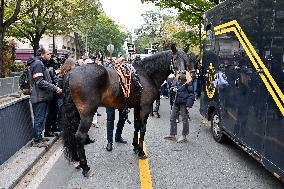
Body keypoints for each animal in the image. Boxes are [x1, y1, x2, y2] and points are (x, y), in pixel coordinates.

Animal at [61, 45, 192, 176]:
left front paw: (135, 146)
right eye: (174, 59)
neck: (146, 74)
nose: (182, 77)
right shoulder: (145, 107)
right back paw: (85, 167)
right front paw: (141, 151)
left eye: (186, 60)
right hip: (88, 114)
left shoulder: (137, 107)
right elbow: (142, 128)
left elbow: (136, 126)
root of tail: (71, 73)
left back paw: (78, 161)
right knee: (79, 136)